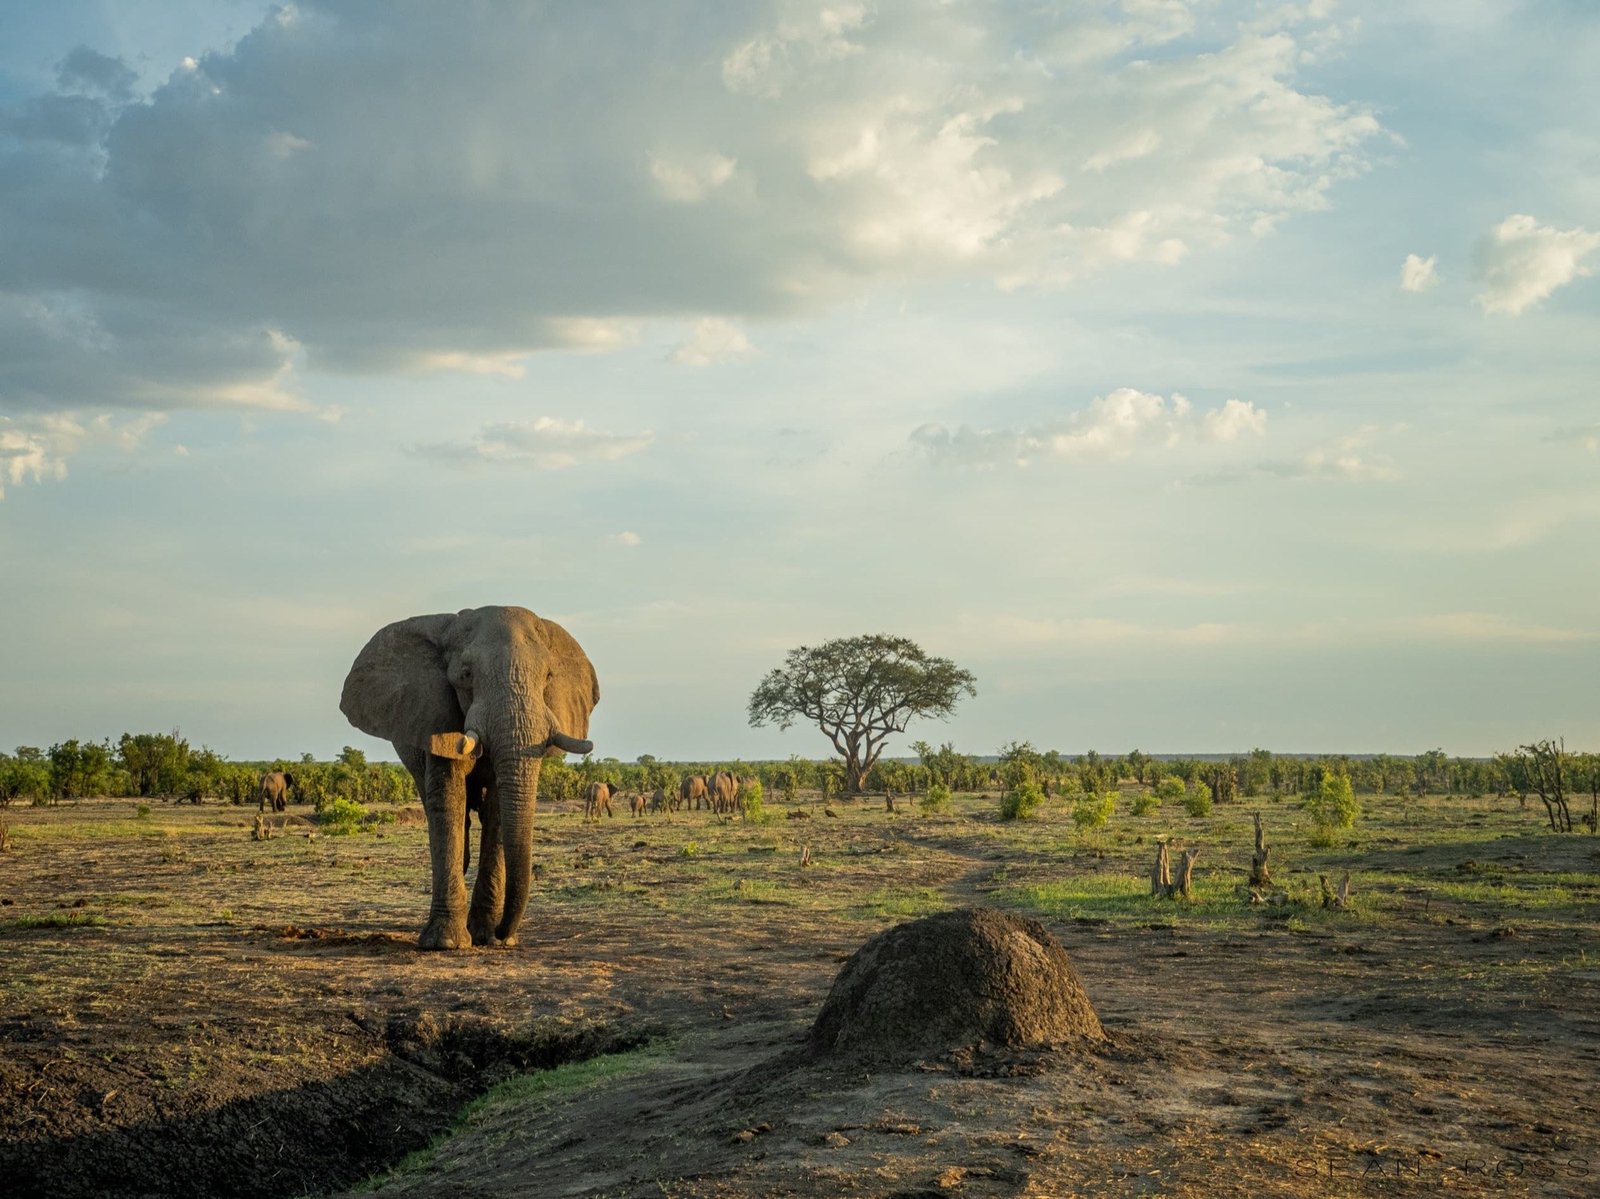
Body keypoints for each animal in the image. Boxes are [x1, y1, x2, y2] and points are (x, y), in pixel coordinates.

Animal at [340, 605, 598, 951]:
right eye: (465, 675)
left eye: (548, 677)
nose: (504, 934)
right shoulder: (435, 713)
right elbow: (449, 796)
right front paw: (446, 943)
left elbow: (498, 811)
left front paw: (486, 936)